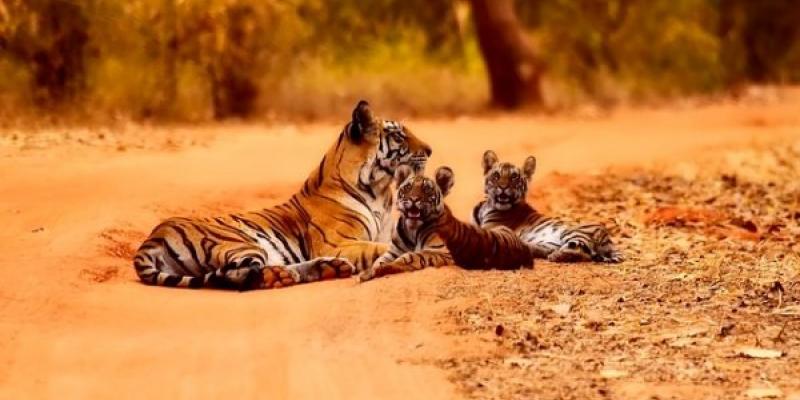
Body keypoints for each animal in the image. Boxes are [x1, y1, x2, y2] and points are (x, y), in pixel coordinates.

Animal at [133, 100, 432, 290]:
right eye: (399, 136)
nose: (429, 150)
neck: (380, 191)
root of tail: (152, 238)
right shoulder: (338, 243)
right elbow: (381, 249)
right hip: (240, 242)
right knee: (236, 275)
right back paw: (285, 275)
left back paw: (326, 269)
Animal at [359, 165, 533, 281]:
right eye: (408, 187)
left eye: (427, 189)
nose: (414, 199)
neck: (411, 228)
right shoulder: (393, 250)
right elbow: (380, 260)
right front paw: (370, 271)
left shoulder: (440, 252)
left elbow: (410, 257)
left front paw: (375, 272)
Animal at [472, 150, 623, 263]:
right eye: (496, 175)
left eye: (514, 177)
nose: (503, 187)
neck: (487, 206)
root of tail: (609, 239)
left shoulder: (491, 229)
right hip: (550, 242)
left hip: (573, 232)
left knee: (581, 253)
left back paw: (555, 255)